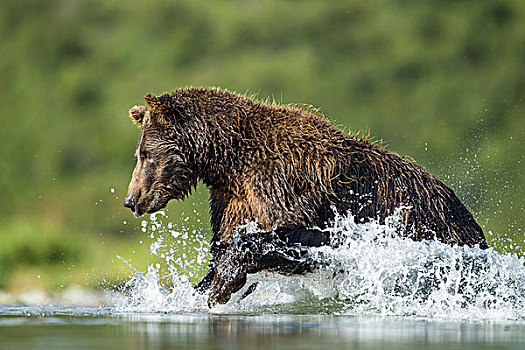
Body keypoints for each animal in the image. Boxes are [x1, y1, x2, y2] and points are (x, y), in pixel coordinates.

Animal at [124, 87, 488, 306]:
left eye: (145, 153)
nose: (131, 199)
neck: (229, 159)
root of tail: (469, 218)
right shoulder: (234, 198)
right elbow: (225, 243)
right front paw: (202, 289)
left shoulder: (291, 185)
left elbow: (296, 238)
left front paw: (224, 283)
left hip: (434, 231)